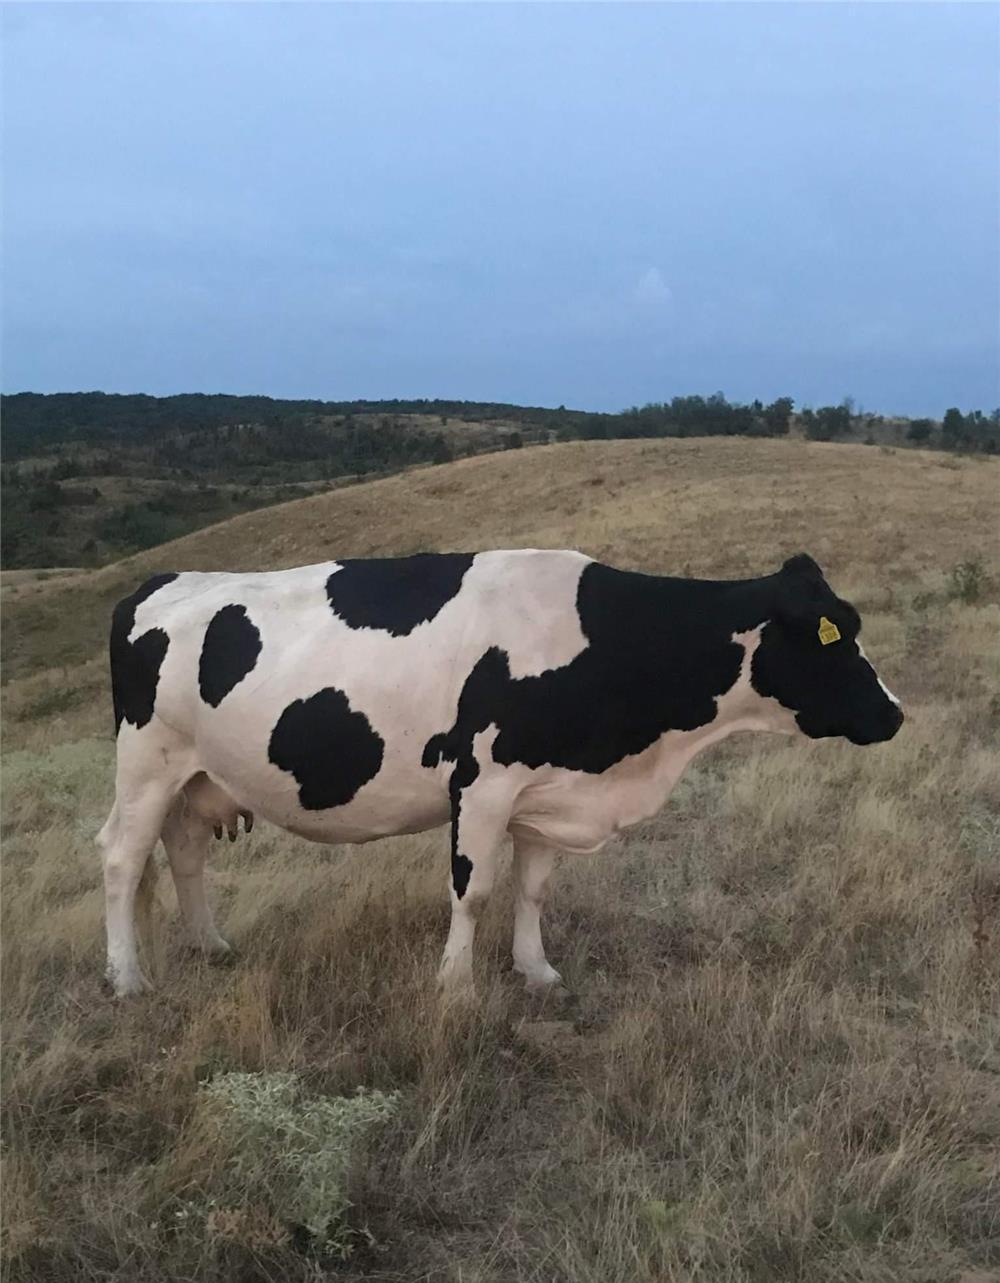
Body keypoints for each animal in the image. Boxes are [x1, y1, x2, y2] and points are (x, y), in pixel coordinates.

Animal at [98, 549, 903, 999]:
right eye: (834, 639)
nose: (894, 714)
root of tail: (157, 582)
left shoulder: (548, 788)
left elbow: (534, 887)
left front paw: (536, 971)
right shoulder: (481, 782)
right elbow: (474, 890)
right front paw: (455, 987)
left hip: (194, 775)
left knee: (185, 852)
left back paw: (210, 945)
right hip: (143, 762)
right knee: (121, 858)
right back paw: (128, 979)